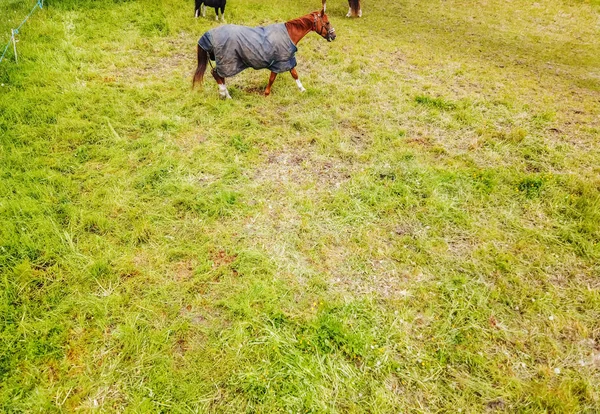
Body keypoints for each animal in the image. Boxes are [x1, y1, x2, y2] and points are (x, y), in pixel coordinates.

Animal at [192, 9, 336, 98]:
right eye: (327, 22)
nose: (333, 36)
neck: (289, 33)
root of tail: (208, 35)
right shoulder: (280, 61)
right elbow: (274, 78)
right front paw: (267, 93)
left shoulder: (284, 60)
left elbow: (294, 74)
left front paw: (302, 90)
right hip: (227, 62)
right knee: (216, 74)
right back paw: (225, 94)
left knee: (219, 76)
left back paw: (225, 93)